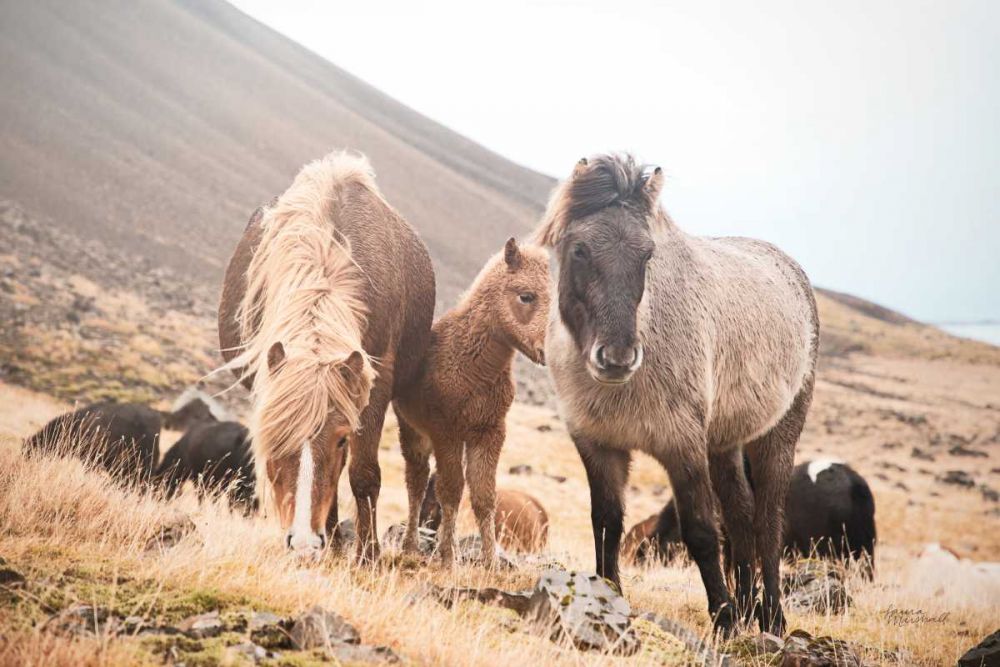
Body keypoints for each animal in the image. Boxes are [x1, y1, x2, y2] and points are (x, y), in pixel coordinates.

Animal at [218, 151, 435, 559]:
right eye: (274, 435)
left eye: (340, 439)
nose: (303, 543)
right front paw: (335, 542)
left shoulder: (375, 382)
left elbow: (363, 473)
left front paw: (368, 554)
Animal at [536, 154, 819, 636]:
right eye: (580, 250)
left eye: (647, 254)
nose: (617, 358)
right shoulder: (598, 445)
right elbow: (606, 522)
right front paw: (607, 596)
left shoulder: (681, 446)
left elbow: (701, 531)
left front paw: (723, 619)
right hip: (724, 444)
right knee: (740, 514)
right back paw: (749, 606)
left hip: (776, 438)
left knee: (767, 522)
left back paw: (771, 618)